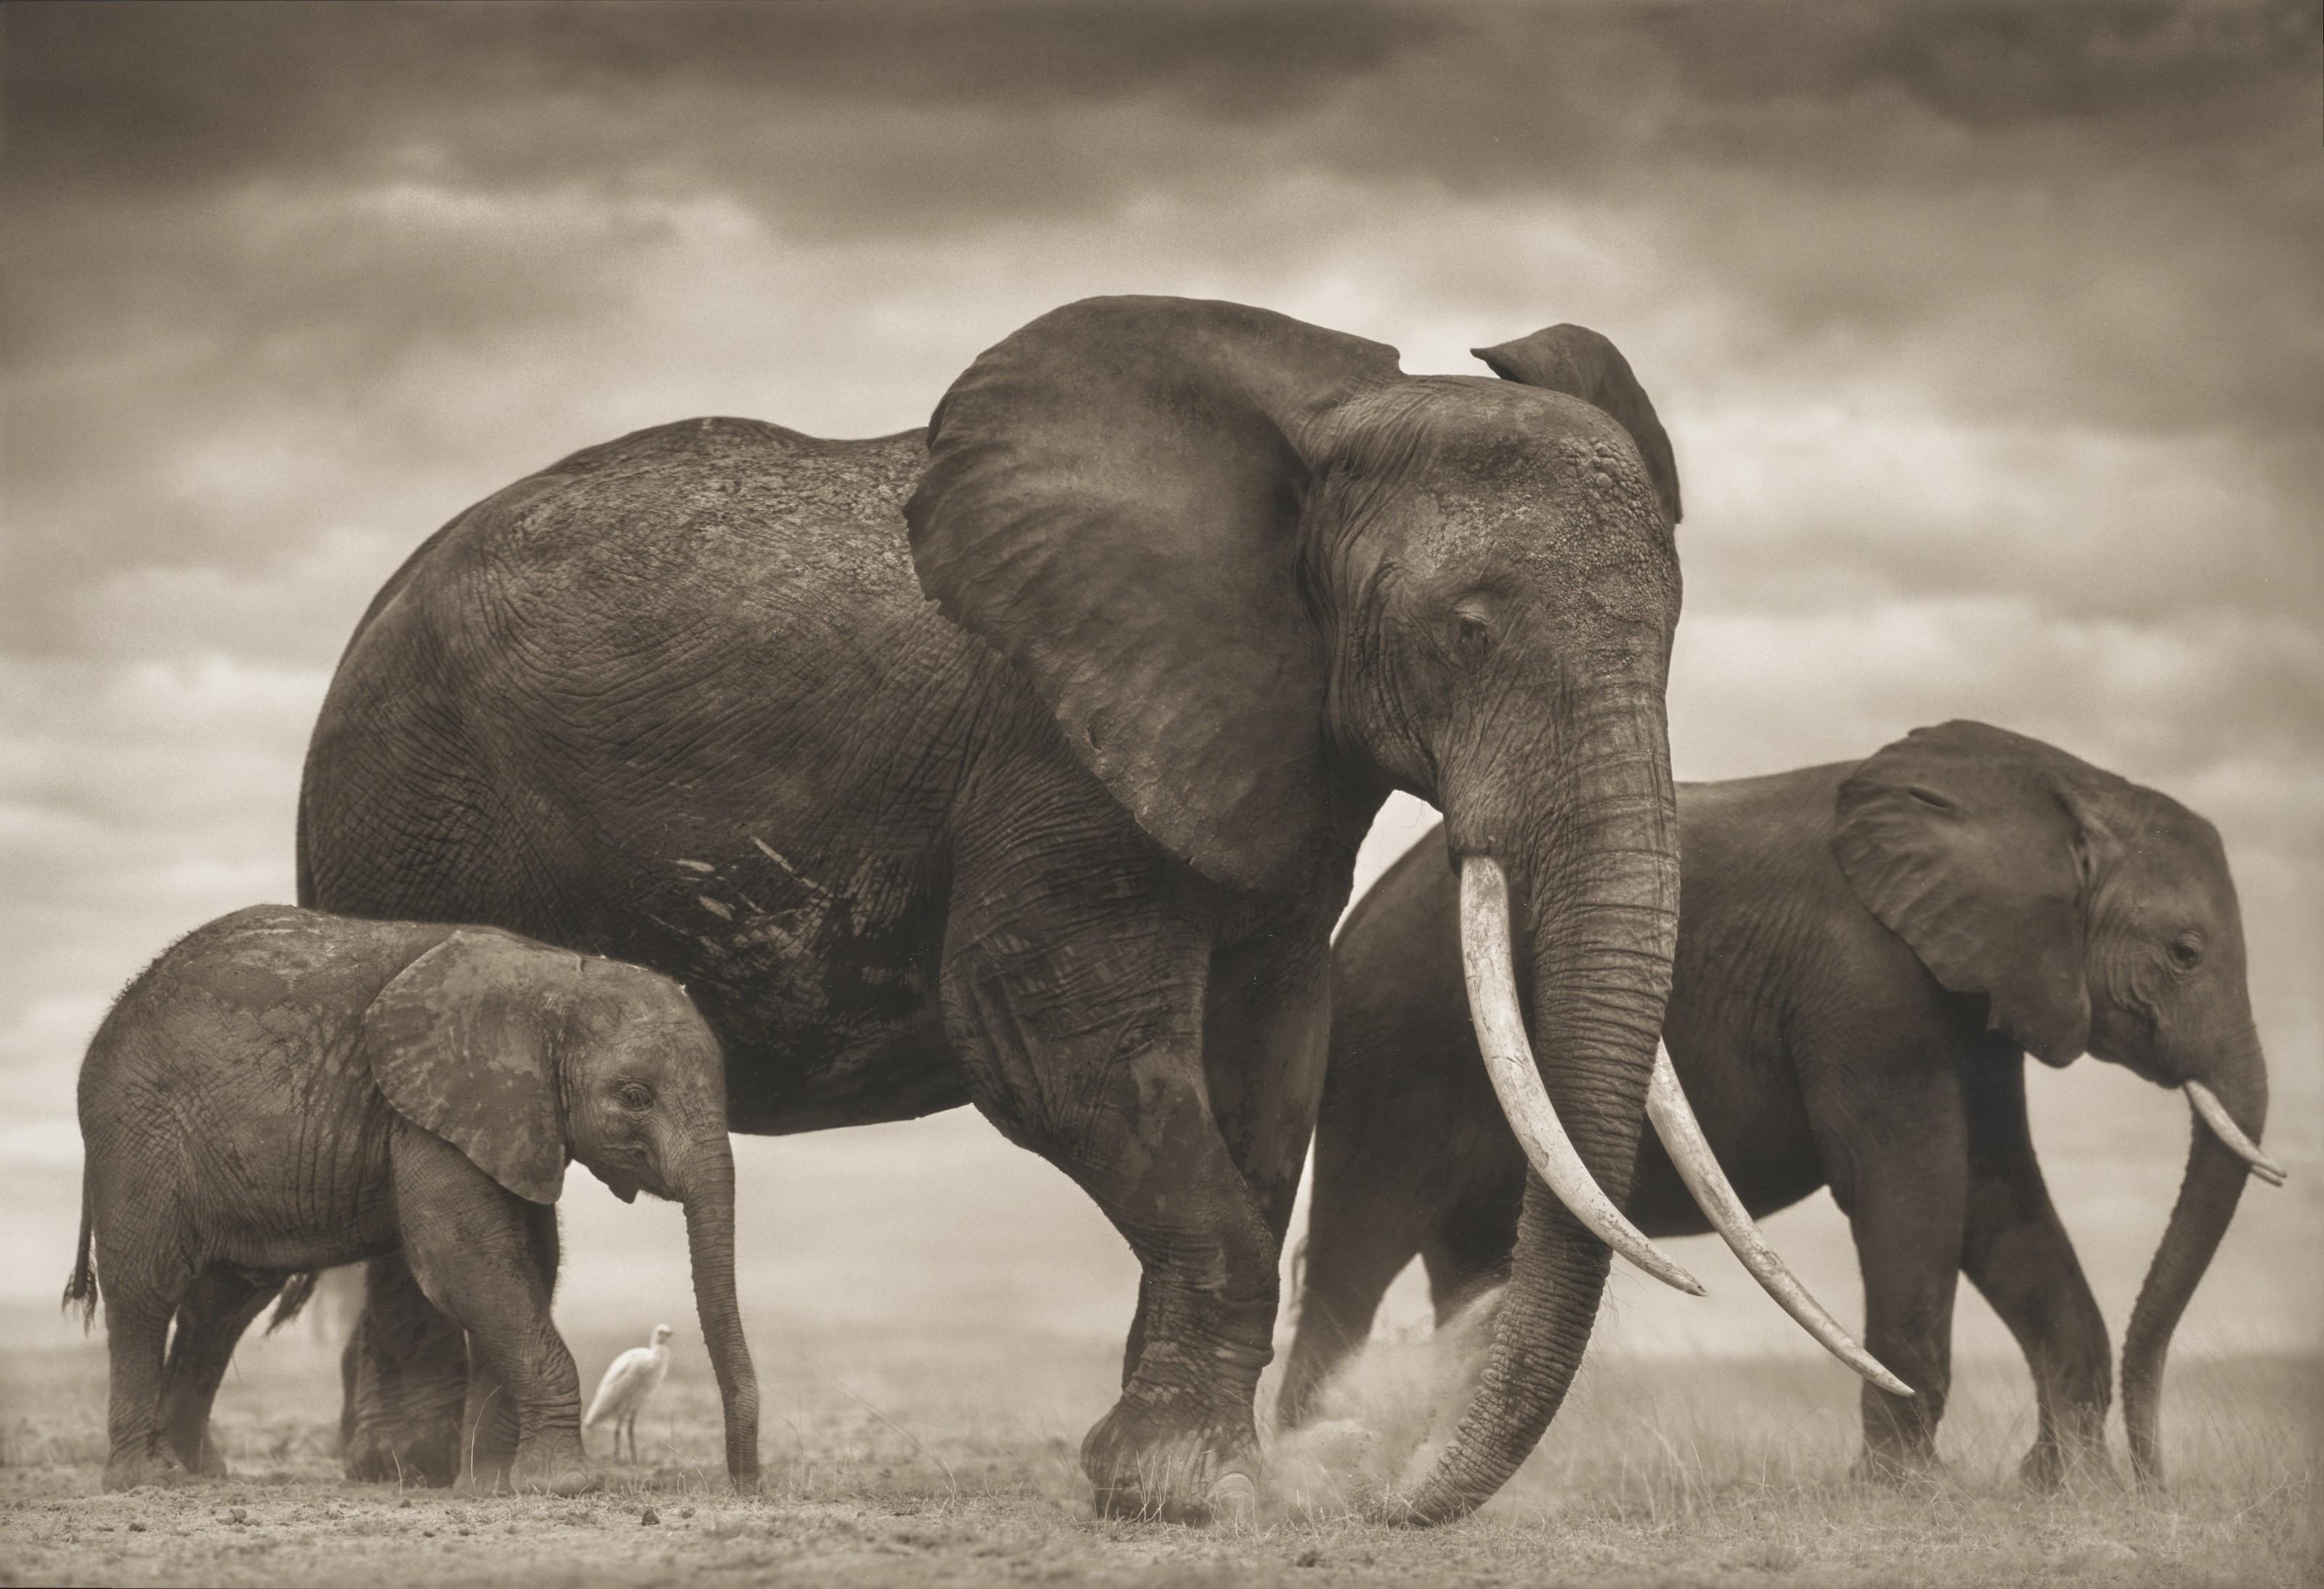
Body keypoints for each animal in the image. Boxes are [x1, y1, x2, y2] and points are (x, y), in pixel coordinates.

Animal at [64, 905, 761, 1496]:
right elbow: (465, 1263)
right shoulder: (430, 1110)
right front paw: (564, 1485)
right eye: (636, 1096)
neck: (558, 978)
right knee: (149, 1286)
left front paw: (490, 1488)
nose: (744, 1486)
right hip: (138, 1129)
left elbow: (530, 1265)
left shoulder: (511, 1118)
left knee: (224, 1303)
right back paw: (147, 1481)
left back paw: (199, 1474)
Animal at [295, 294, 1866, 1522]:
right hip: (402, 812)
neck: (1317, 432)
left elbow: (1268, 1060)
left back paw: (463, 1469)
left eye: (1672, 631)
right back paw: (419, 1475)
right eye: (1465, 631)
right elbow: (1049, 1039)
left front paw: (1171, 1479)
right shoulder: (1055, 745)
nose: (1391, 1496)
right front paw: (1199, 1491)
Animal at [1279, 721, 2282, 1489]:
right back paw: (1311, 1460)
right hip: (1387, 1048)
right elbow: (1910, 1187)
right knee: (1352, 1254)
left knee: (1469, 1266)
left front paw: (2062, 1485)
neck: (2053, 785)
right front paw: (1904, 1487)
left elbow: (1998, 1195)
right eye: (2185, 953)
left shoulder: (1985, 987)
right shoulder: (1863, 979)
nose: (2155, 1478)